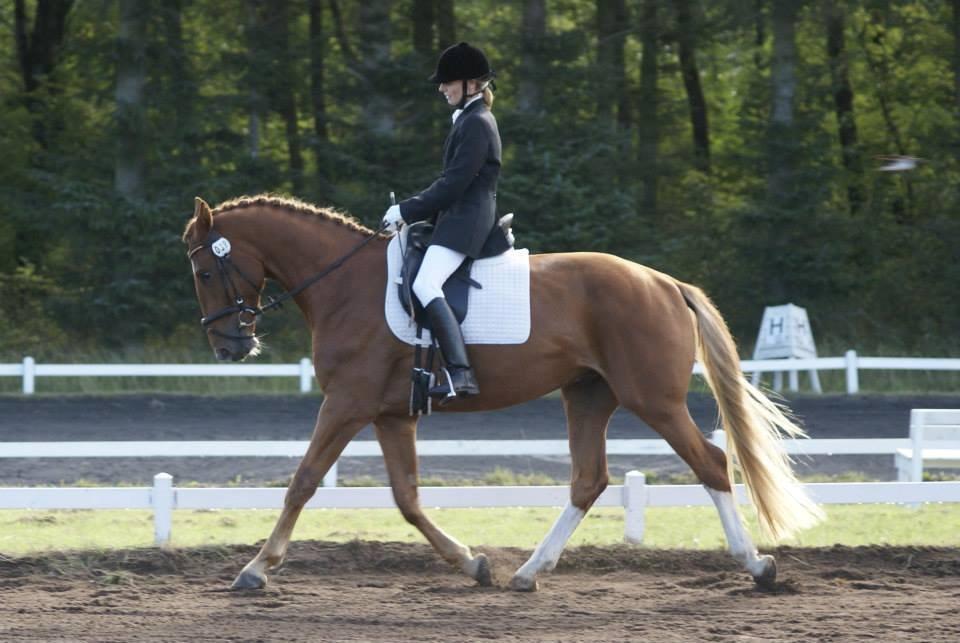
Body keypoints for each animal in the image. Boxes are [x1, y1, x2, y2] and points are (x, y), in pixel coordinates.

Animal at [184, 194, 820, 592]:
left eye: (206, 272)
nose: (229, 347)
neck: (344, 285)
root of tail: (664, 282)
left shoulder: (347, 403)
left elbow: (303, 482)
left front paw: (256, 569)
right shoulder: (391, 414)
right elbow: (407, 498)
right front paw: (472, 564)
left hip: (653, 400)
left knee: (709, 461)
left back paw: (756, 566)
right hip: (588, 395)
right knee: (588, 480)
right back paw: (528, 572)